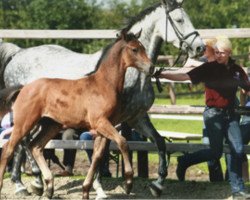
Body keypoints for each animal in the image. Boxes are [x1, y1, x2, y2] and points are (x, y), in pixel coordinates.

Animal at [0, 0, 204, 197]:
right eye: (179, 20)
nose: (199, 47)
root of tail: (17, 54)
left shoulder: (136, 118)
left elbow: (159, 142)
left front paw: (158, 185)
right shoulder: (107, 122)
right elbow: (111, 149)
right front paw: (106, 186)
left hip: (48, 122)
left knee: (29, 144)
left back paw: (35, 184)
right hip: (29, 119)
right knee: (19, 144)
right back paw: (27, 182)